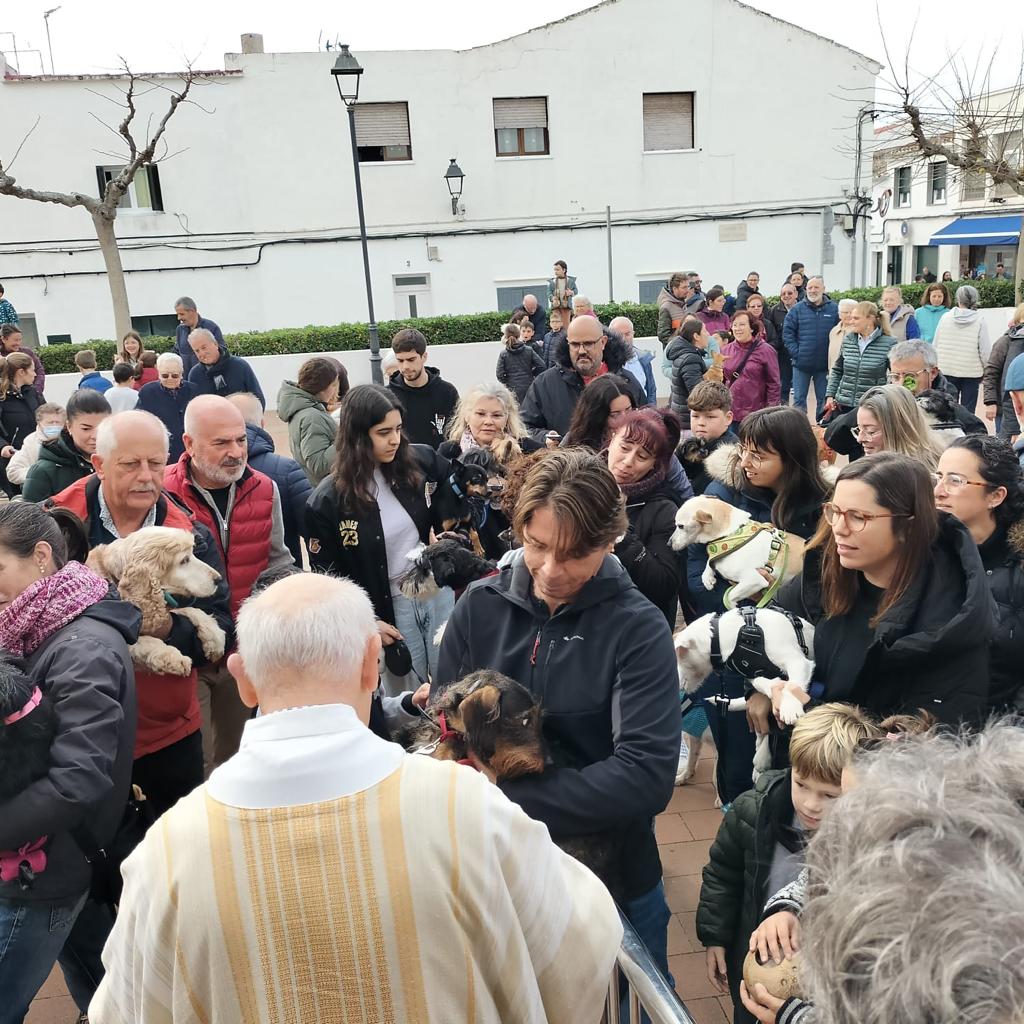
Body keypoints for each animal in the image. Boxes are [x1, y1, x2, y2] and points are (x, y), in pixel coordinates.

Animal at [87, 524, 225, 675]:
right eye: (184, 560)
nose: (219, 579)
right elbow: (143, 641)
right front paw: (172, 656)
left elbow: (190, 609)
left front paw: (215, 638)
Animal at [671, 495, 806, 606]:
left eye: (680, 526)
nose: (669, 543)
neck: (731, 534)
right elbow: (709, 561)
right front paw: (707, 577)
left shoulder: (755, 580)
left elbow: (729, 597)